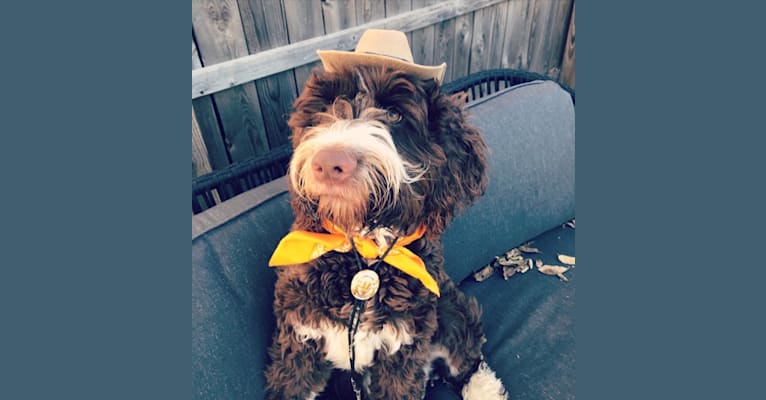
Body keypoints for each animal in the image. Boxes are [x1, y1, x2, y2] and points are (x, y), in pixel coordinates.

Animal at [264, 30, 510, 400]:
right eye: (327, 106)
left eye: (394, 114)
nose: (329, 162)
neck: (363, 252)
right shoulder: (299, 342)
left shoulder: (402, 351)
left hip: (450, 310)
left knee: (468, 355)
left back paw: (483, 389)